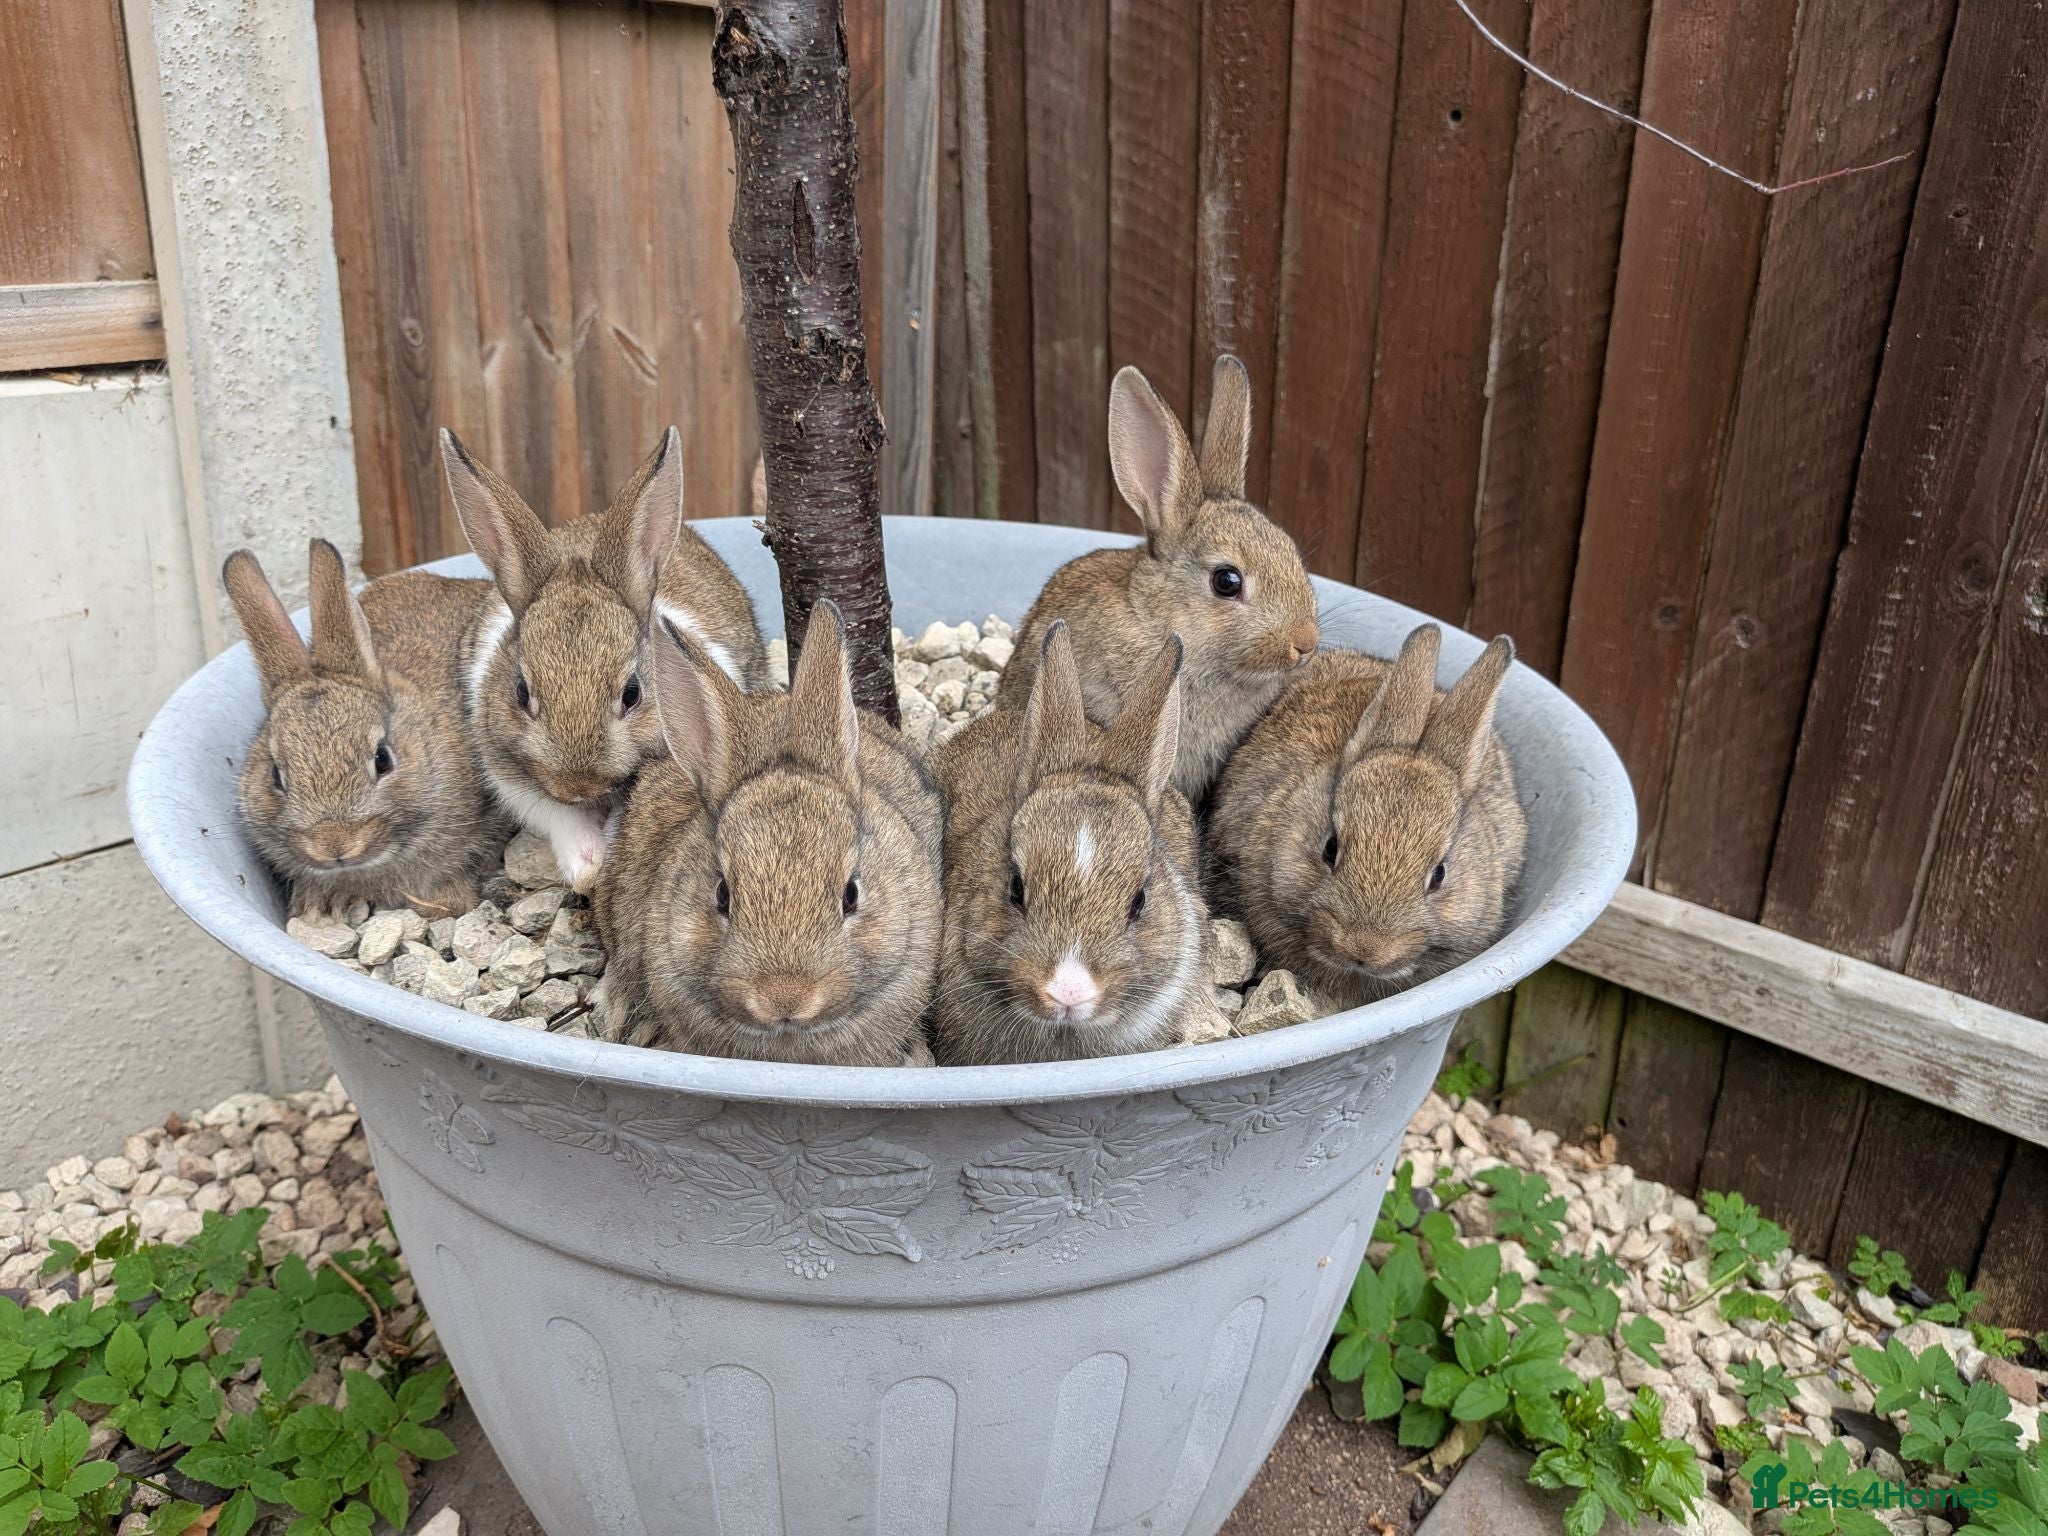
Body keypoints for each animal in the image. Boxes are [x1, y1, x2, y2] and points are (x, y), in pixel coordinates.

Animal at [441, 425, 770, 894]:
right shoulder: (506, 768)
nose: (578, 784)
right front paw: (586, 867)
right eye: (522, 692)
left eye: (632, 694)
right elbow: (555, 815)